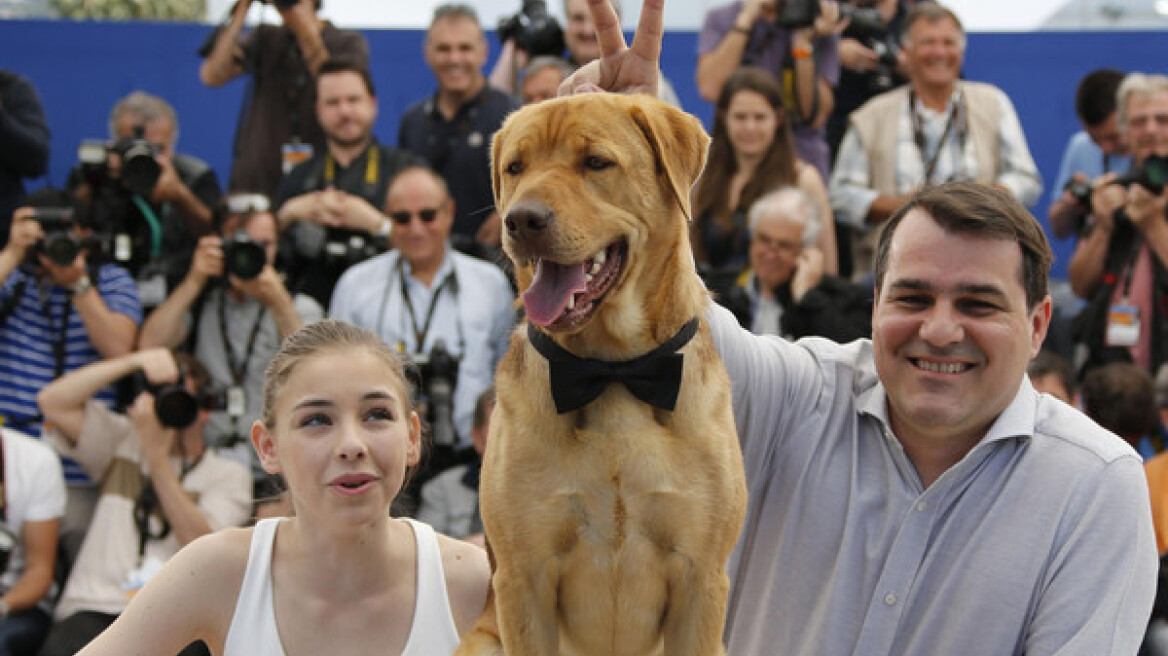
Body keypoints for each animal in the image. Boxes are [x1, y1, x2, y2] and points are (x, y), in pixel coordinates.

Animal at [455, 92, 747, 653]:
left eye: (595, 162)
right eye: (516, 167)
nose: (521, 220)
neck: (614, 372)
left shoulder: (701, 579)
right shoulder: (523, 580)